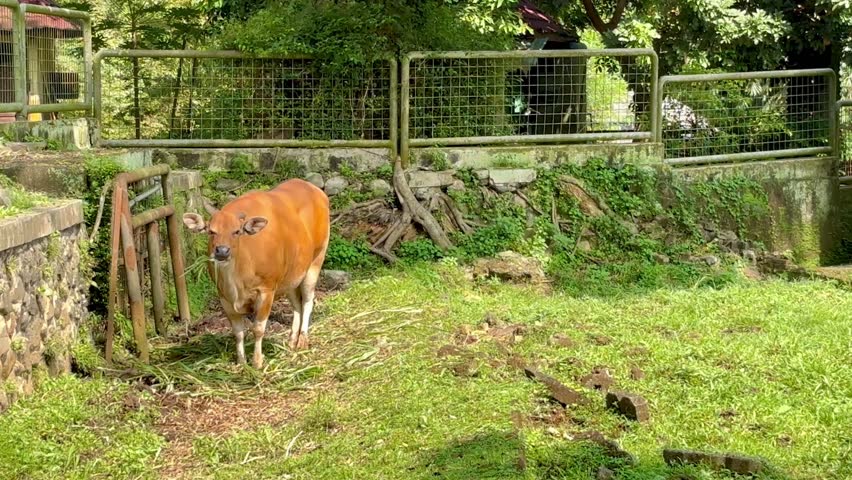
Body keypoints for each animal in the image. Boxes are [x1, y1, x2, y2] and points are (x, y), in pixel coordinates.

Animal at [182, 179, 330, 368]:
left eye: (237, 231)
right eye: (211, 231)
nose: (222, 251)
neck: (237, 278)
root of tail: (316, 190)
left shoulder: (266, 290)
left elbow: (258, 329)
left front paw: (257, 361)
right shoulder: (224, 296)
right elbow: (238, 332)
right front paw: (241, 361)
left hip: (316, 260)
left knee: (308, 300)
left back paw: (302, 340)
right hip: (292, 274)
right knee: (297, 304)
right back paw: (291, 340)